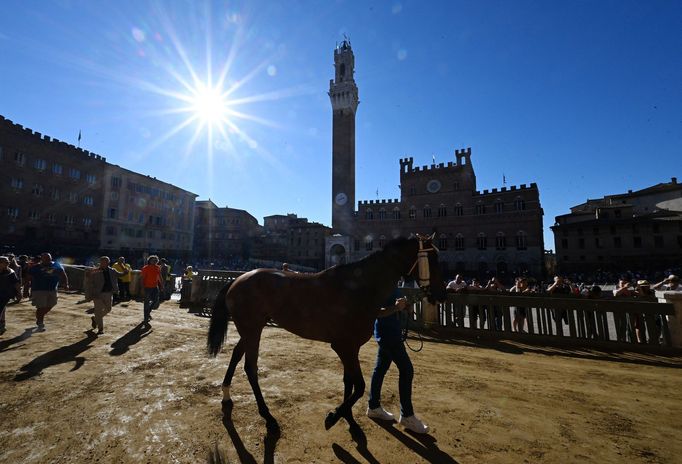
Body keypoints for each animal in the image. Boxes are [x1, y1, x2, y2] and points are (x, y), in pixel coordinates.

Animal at [205, 237, 444, 434]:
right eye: (432, 259)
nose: (440, 293)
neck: (359, 288)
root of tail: (238, 280)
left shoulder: (350, 348)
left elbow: (349, 382)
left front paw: (348, 418)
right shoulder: (344, 346)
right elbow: (359, 386)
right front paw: (334, 416)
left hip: (251, 328)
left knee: (236, 354)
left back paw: (226, 394)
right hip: (252, 329)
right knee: (250, 367)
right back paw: (268, 416)